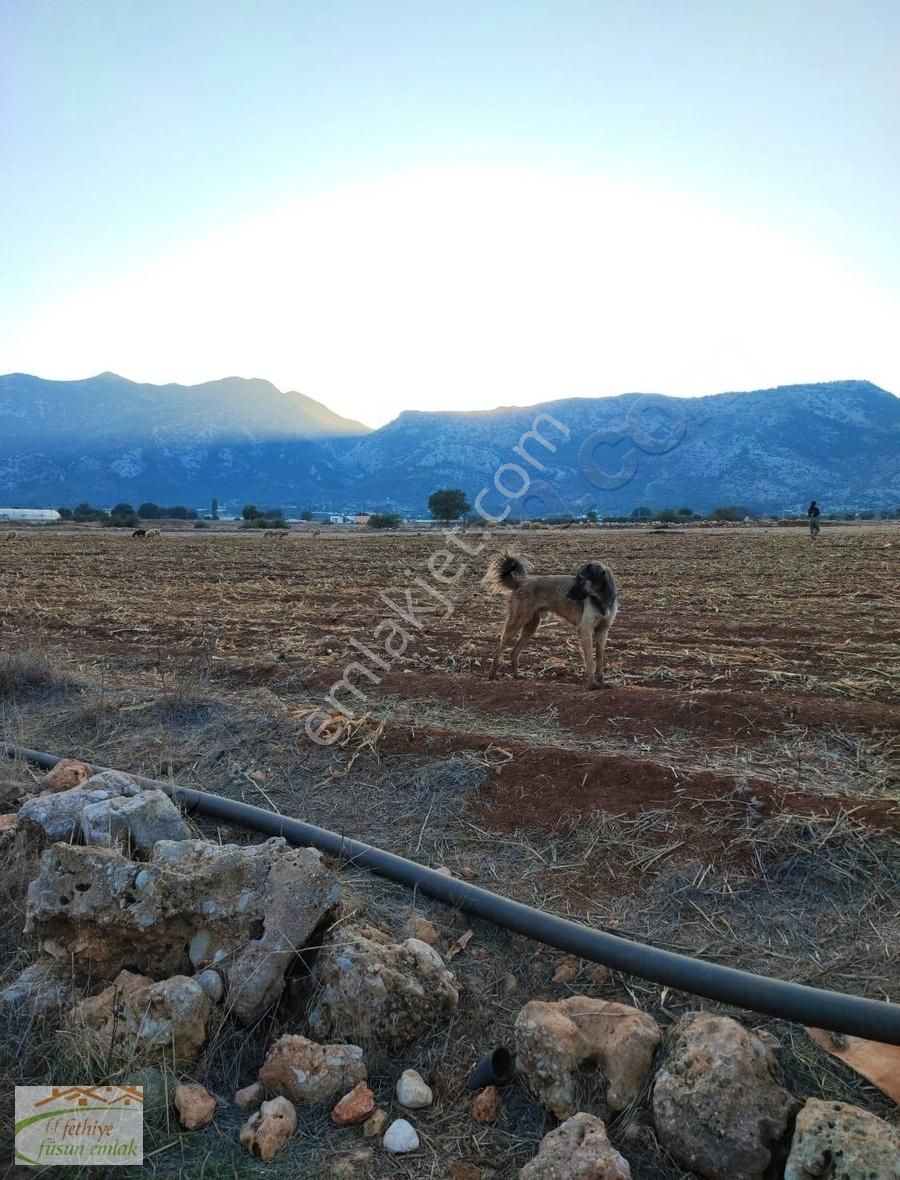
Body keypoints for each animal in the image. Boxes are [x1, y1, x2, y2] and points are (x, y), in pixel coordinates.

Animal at [485, 554, 618, 689]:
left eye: (581, 578)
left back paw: (516, 676)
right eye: (577, 578)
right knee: (499, 649)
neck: (601, 599)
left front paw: (602, 682)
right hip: (517, 621)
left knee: (514, 652)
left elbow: (600, 660)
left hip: (531, 625)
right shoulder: (585, 629)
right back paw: (492, 675)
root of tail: (520, 582)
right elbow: (590, 660)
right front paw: (592, 683)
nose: (567, 594)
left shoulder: (602, 631)